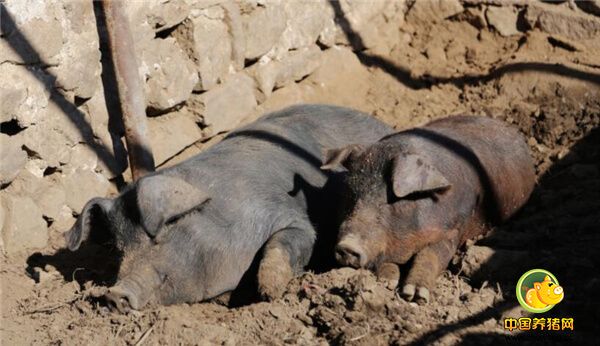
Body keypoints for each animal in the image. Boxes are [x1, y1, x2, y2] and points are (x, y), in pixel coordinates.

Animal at [65, 104, 394, 312]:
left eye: (158, 237)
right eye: (120, 249)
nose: (114, 294)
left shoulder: (288, 215)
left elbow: (291, 239)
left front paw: (269, 292)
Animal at [322, 115, 536, 302]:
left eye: (389, 200)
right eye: (352, 194)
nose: (347, 246)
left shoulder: (454, 228)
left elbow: (431, 254)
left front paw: (415, 295)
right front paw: (388, 283)